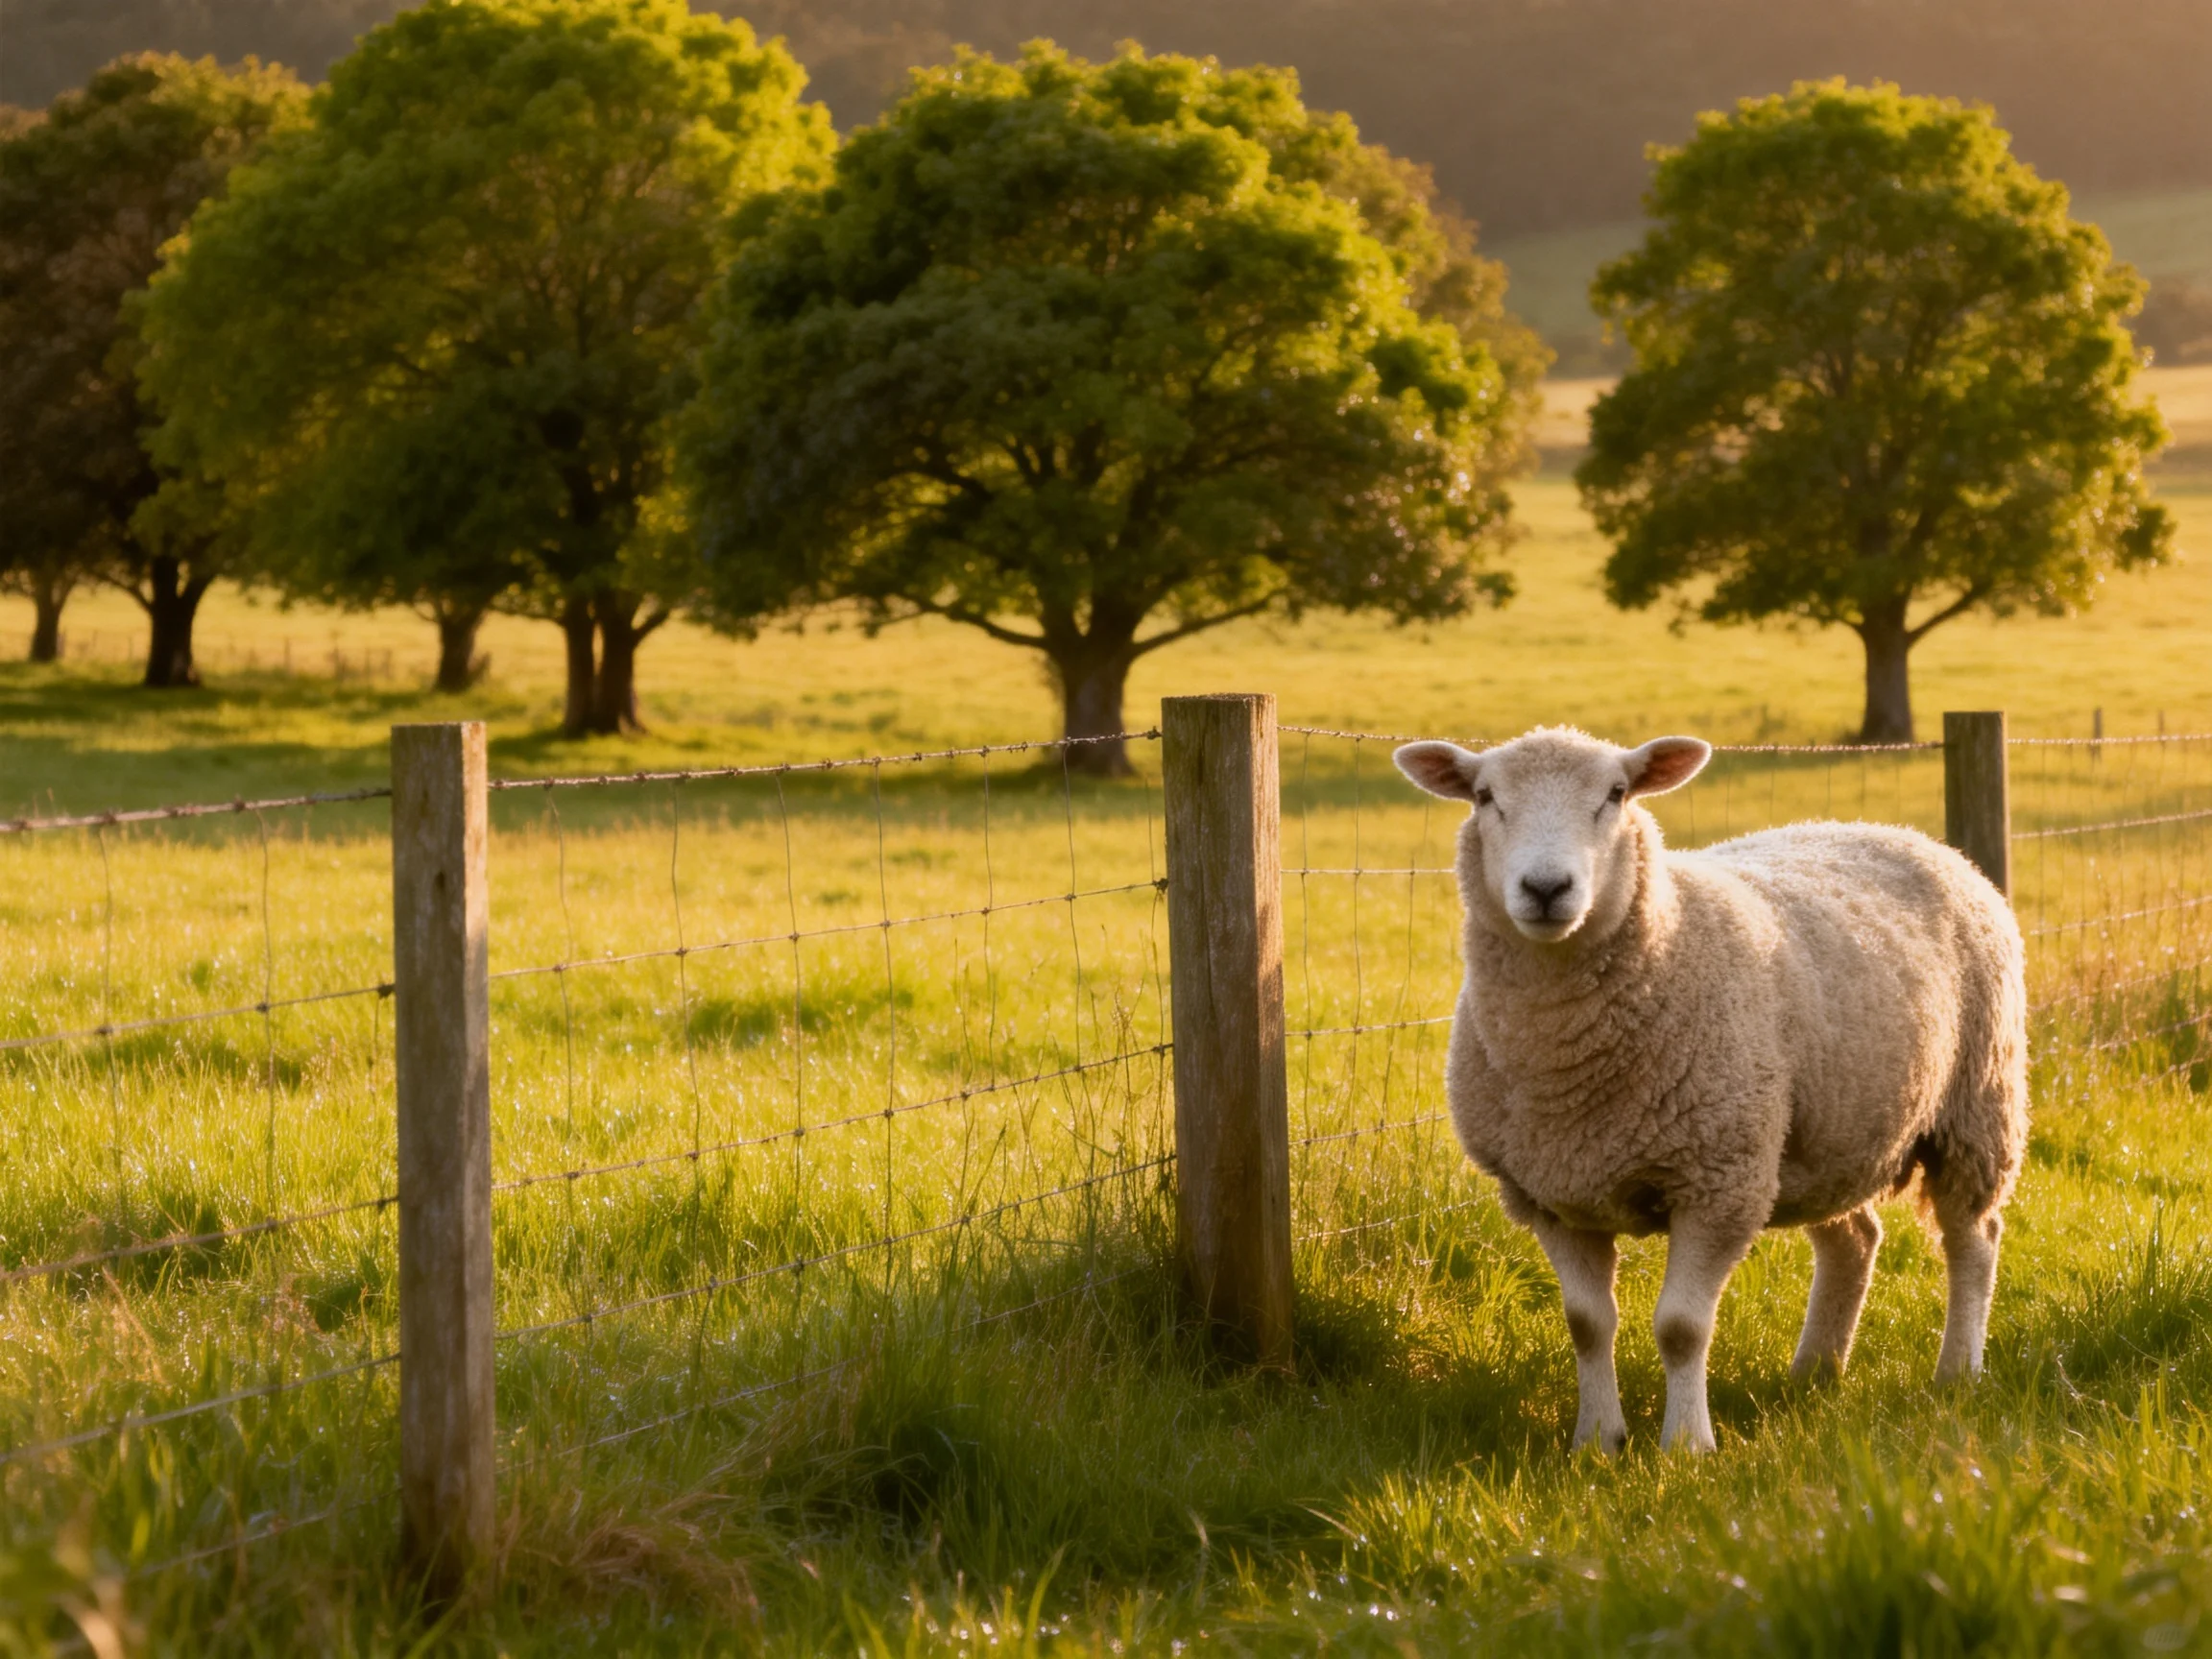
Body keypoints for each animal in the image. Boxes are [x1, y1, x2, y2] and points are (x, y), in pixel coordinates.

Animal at [1393, 725, 2028, 1453]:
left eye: (1616, 794)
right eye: (1484, 796)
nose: (1547, 887)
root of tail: (1908, 835)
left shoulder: (1719, 1181)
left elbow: (1681, 1327)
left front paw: (1686, 1446)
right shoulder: (1552, 1193)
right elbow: (1587, 1323)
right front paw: (1597, 1441)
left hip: (1976, 1106)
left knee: (1974, 1239)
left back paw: (1958, 1371)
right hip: (1822, 1134)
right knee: (1856, 1239)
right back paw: (1814, 1371)